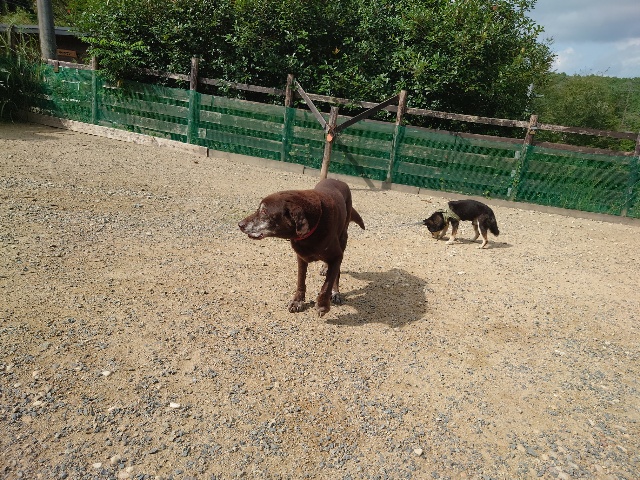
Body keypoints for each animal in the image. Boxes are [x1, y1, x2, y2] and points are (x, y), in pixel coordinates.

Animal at [238, 178, 365, 316]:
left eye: (264, 211)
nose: (240, 224)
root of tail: (338, 180)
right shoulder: (301, 257)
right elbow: (301, 281)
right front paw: (297, 301)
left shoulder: (337, 256)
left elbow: (328, 283)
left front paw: (322, 305)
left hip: (343, 238)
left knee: (337, 272)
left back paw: (336, 292)